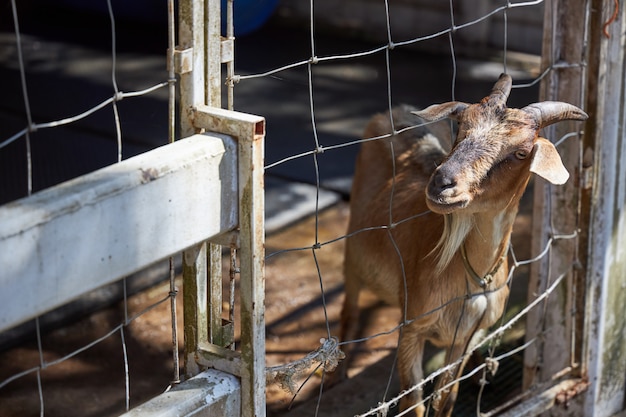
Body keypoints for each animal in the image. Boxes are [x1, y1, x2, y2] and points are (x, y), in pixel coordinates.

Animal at [334, 75, 588, 416]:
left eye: (521, 153)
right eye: (461, 128)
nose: (442, 182)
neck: (472, 276)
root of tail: (393, 111)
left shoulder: (465, 337)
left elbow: (447, 398)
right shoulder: (412, 328)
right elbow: (413, 401)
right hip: (353, 254)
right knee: (349, 307)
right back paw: (335, 376)